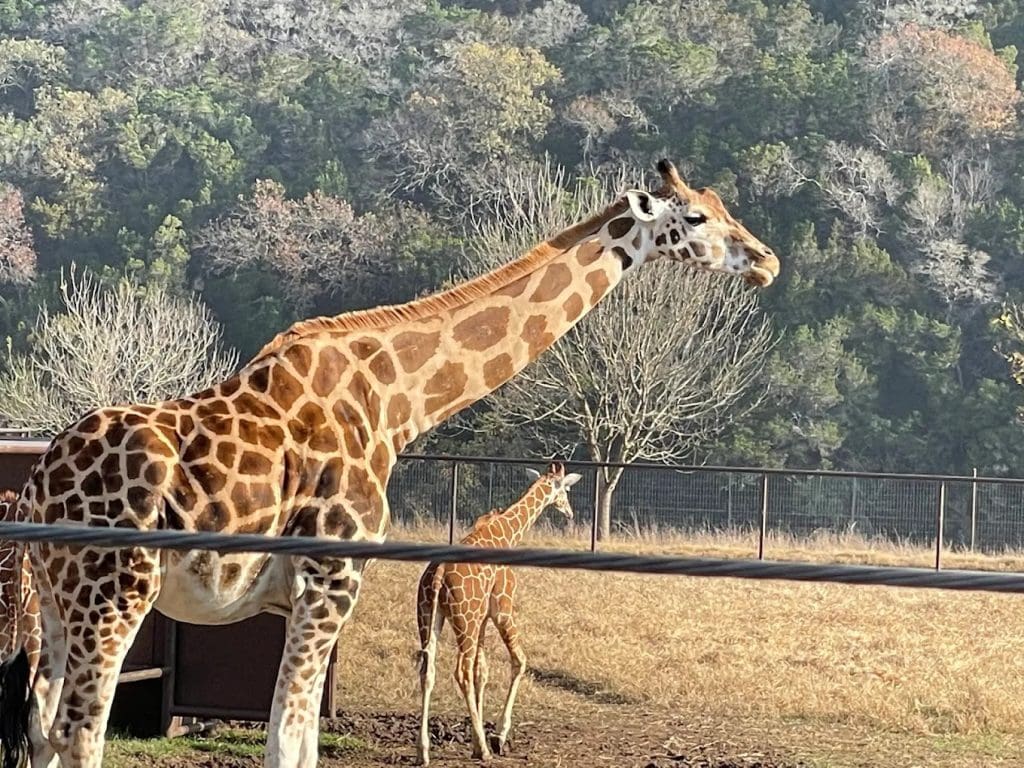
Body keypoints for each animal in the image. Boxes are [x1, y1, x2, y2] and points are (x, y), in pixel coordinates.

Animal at [415, 462, 581, 765]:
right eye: (565, 489)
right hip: (465, 620)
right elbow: (519, 661)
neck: (507, 533)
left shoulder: (482, 617)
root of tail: (439, 574)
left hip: (429, 617)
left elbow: (482, 671)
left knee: (428, 669)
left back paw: (423, 751)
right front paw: (497, 737)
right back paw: (484, 750)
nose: (569, 512)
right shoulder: (502, 608)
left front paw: (475, 741)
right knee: (461, 672)